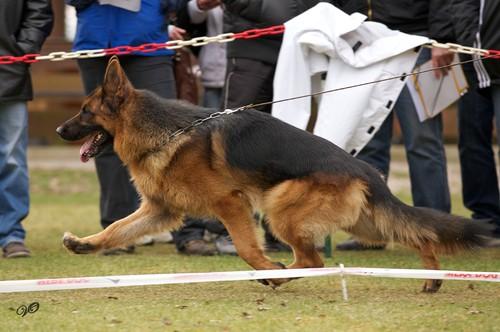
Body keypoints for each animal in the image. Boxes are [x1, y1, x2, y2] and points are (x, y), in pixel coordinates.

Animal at [56, 58, 494, 292]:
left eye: (85, 112)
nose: (59, 130)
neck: (166, 131)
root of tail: (364, 169)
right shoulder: (160, 211)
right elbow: (117, 229)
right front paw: (85, 244)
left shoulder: (230, 204)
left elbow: (247, 248)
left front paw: (268, 267)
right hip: (364, 224)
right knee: (414, 233)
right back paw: (432, 275)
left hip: (280, 209)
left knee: (312, 260)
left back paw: (279, 277)